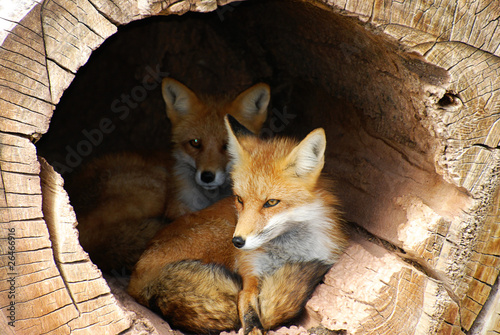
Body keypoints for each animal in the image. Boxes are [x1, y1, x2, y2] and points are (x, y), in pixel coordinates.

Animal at [127, 116, 350, 335]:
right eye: (240, 199)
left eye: (271, 202)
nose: (237, 242)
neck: (287, 255)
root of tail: (138, 276)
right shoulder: (249, 276)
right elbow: (251, 314)